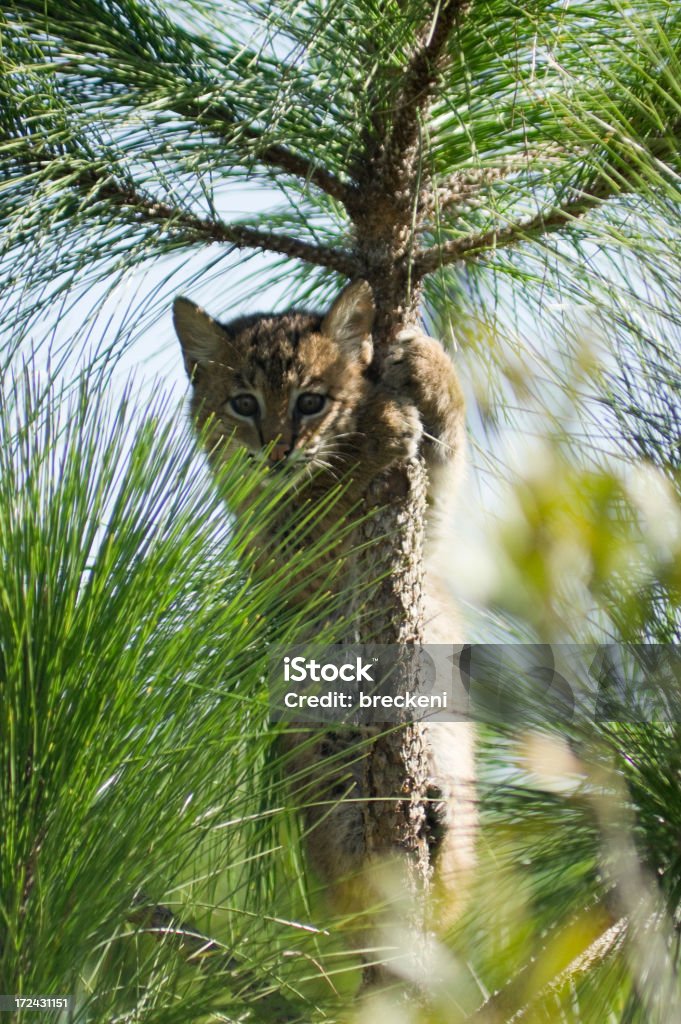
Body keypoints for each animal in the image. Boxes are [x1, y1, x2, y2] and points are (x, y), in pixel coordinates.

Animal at [173, 284, 475, 925]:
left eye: (310, 402)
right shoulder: (278, 542)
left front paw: (424, 365)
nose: (276, 450)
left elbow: (450, 447)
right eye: (243, 403)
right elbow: (320, 493)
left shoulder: (425, 531)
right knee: (346, 873)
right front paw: (378, 429)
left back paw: (436, 825)